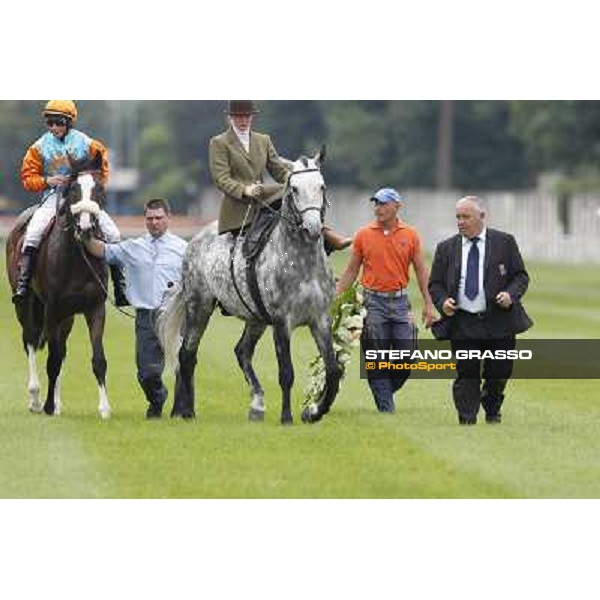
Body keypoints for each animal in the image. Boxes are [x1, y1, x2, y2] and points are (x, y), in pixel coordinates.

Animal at [5, 152, 112, 420]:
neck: (77, 258)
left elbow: (98, 359)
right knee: (31, 341)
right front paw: (47, 406)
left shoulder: (95, 308)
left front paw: (104, 408)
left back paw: (57, 401)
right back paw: (35, 398)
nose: (86, 227)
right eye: (73, 189)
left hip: (67, 316)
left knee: (60, 348)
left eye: (99, 188)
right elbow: (52, 360)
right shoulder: (52, 308)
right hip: (27, 305)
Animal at [158, 148, 342, 424]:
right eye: (294, 189)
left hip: (255, 319)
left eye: (322, 186)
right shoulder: (282, 322)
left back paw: (256, 404)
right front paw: (287, 417)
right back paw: (187, 410)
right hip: (199, 307)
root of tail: (195, 240)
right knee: (187, 355)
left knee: (241, 352)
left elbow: (332, 370)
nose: (313, 229)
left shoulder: (320, 319)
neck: (302, 261)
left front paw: (314, 411)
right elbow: (286, 372)